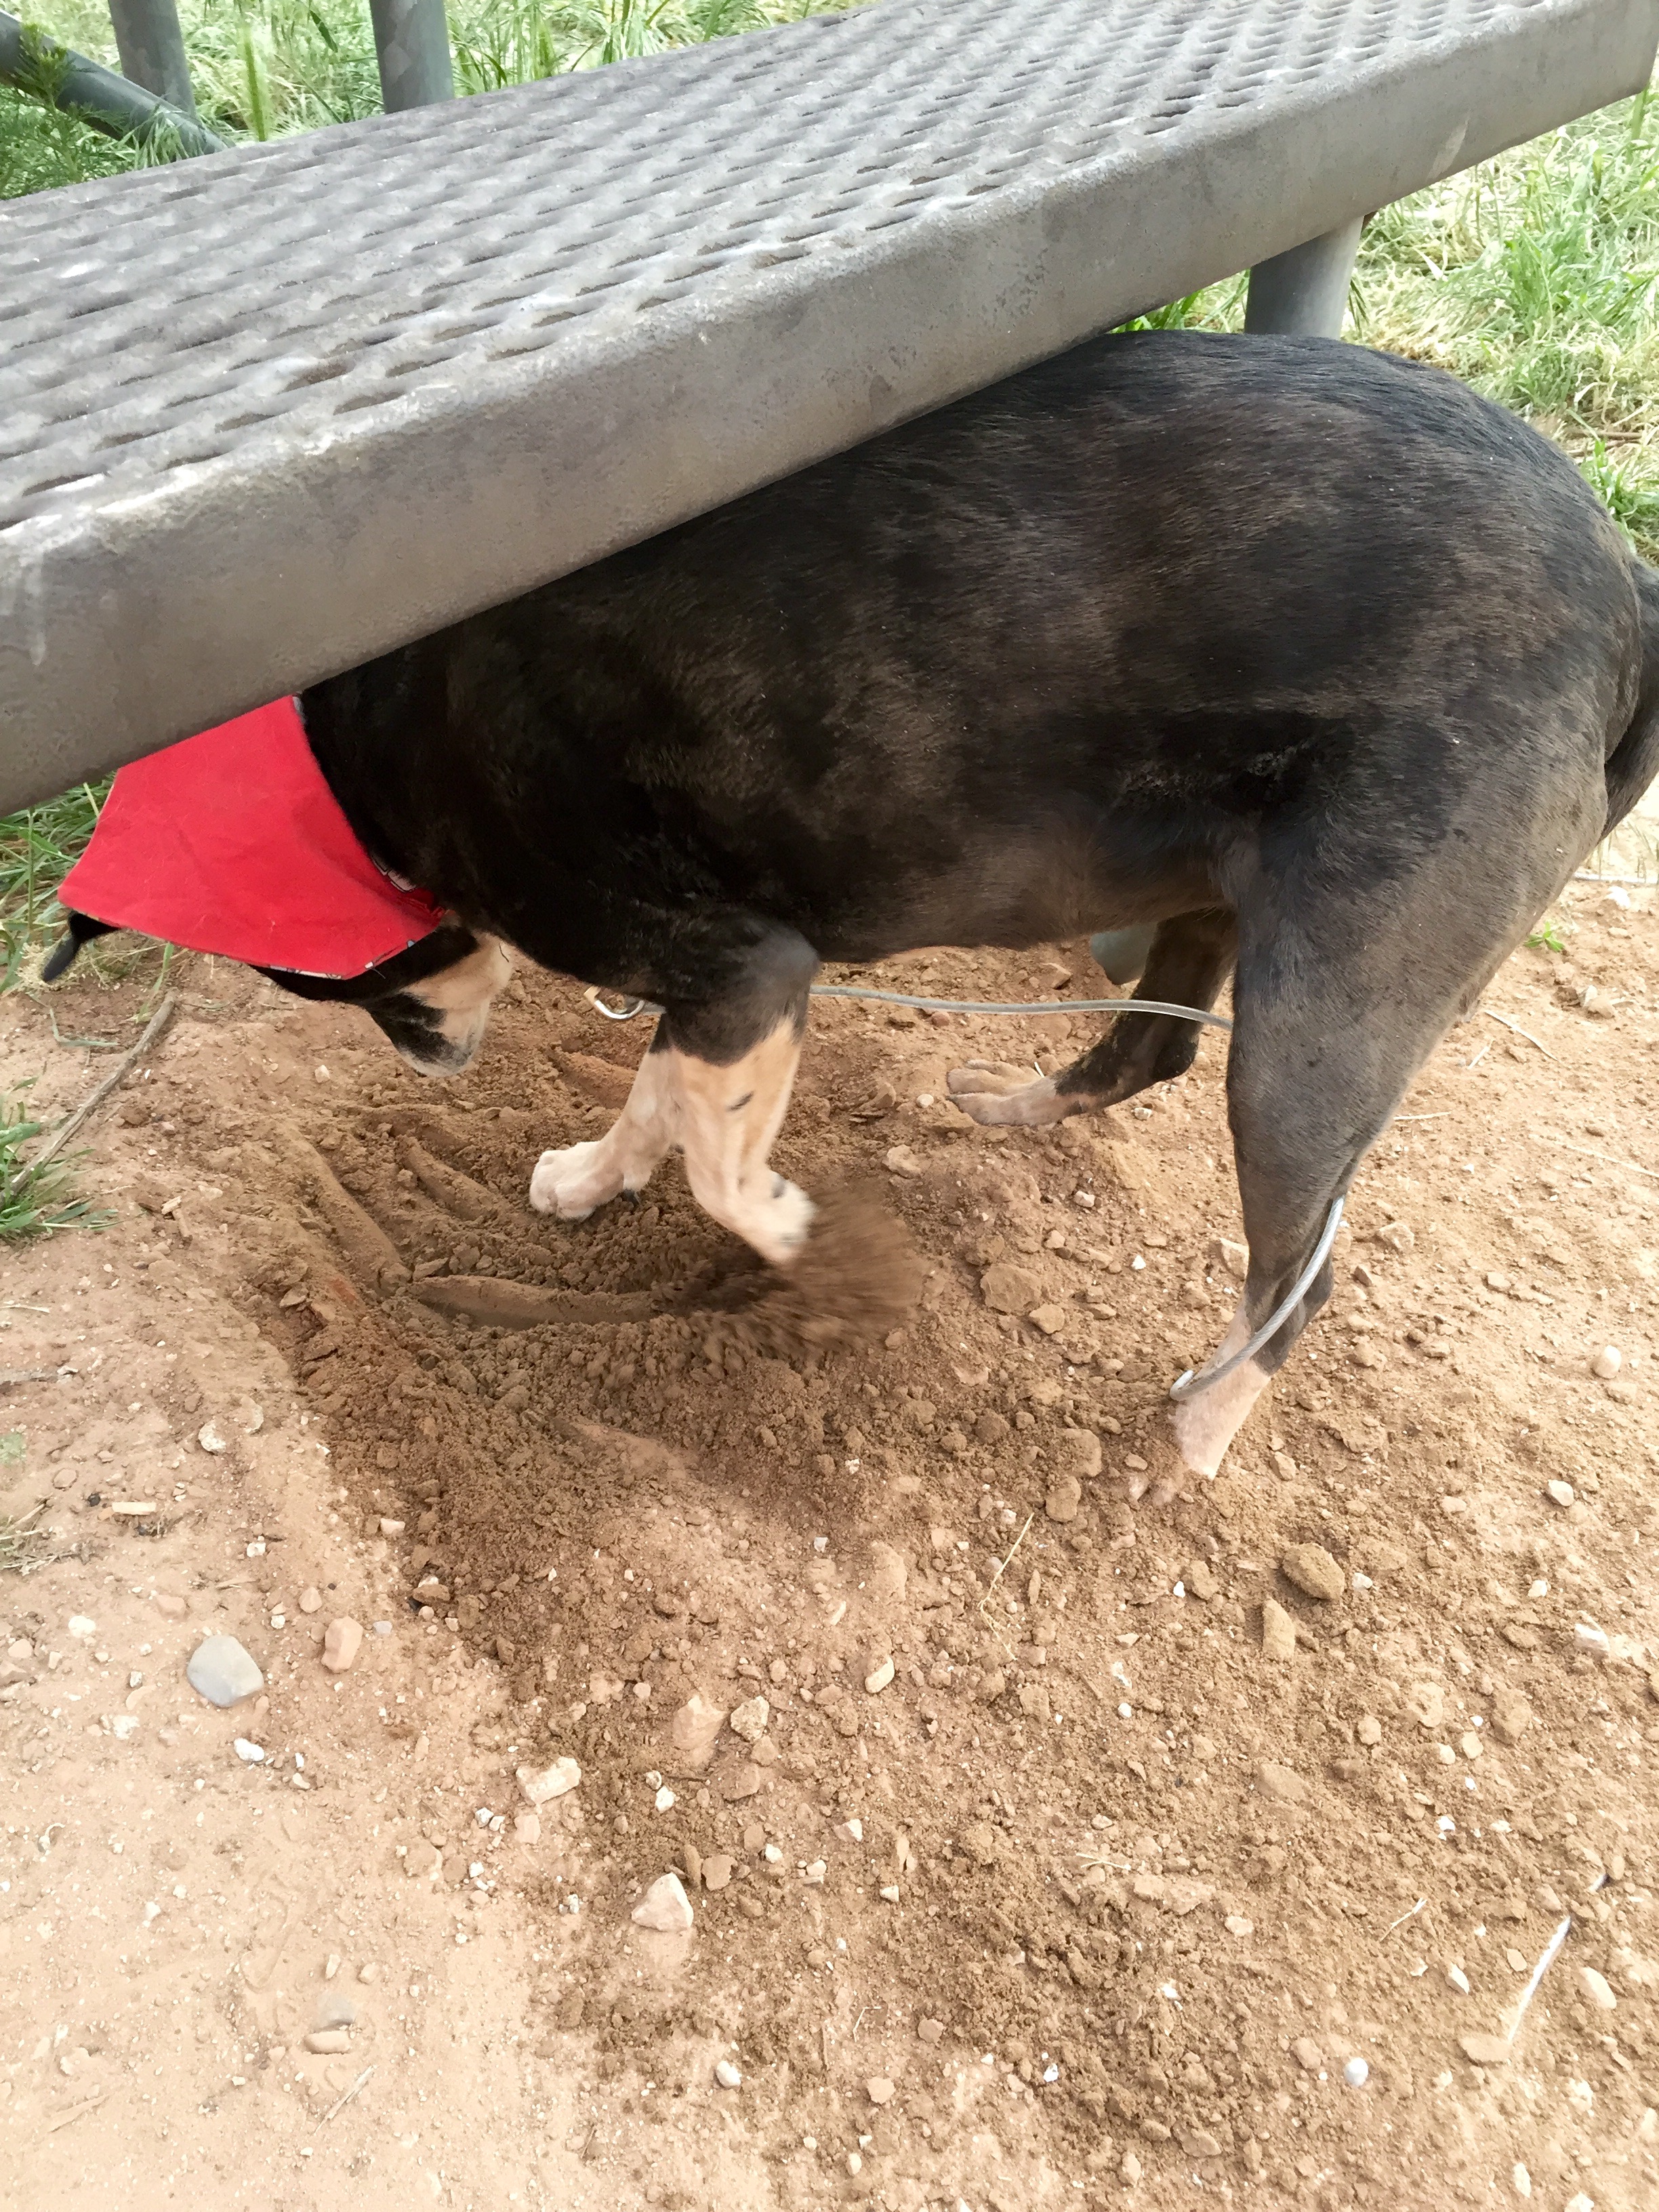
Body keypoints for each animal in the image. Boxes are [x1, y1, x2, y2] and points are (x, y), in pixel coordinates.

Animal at [53, 330, 1659, 1480]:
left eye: (339, 985)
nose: (434, 1063)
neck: (372, 749)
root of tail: (1626, 585)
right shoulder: (720, 993)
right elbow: (660, 1104)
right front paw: (593, 1177)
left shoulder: (746, 966)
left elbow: (719, 1164)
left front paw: (796, 1241)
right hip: (1226, 906)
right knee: (1148, 1048)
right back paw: (1014, 1108)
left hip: (1320, 1022)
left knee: (1298, 1277)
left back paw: (1193, 1432)